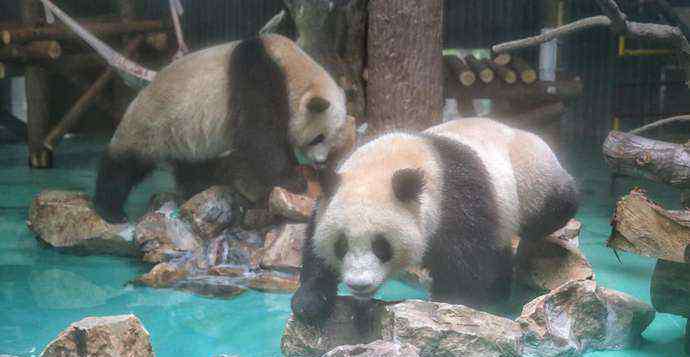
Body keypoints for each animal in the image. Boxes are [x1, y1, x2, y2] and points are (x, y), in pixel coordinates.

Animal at [93, 34, 346, 222]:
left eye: (332, 139)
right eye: (318, 137)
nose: (322, 161)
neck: (290, 68)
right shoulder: (256, 77)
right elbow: (258, 135)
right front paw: (293, 180)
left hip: (184, 136)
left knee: (191, 165)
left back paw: (200, 187)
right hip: (151, 126)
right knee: (124, 166)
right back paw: (111, 210)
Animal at [288, 116, 576, 322]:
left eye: (381, 246)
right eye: (341, 245)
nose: (359, 284)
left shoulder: (454, 201)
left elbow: (468, 263)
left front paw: (449, 304)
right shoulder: (329, 199)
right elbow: (314, 252)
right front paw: (310, 303)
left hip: (531, 176)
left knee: (553, 207)